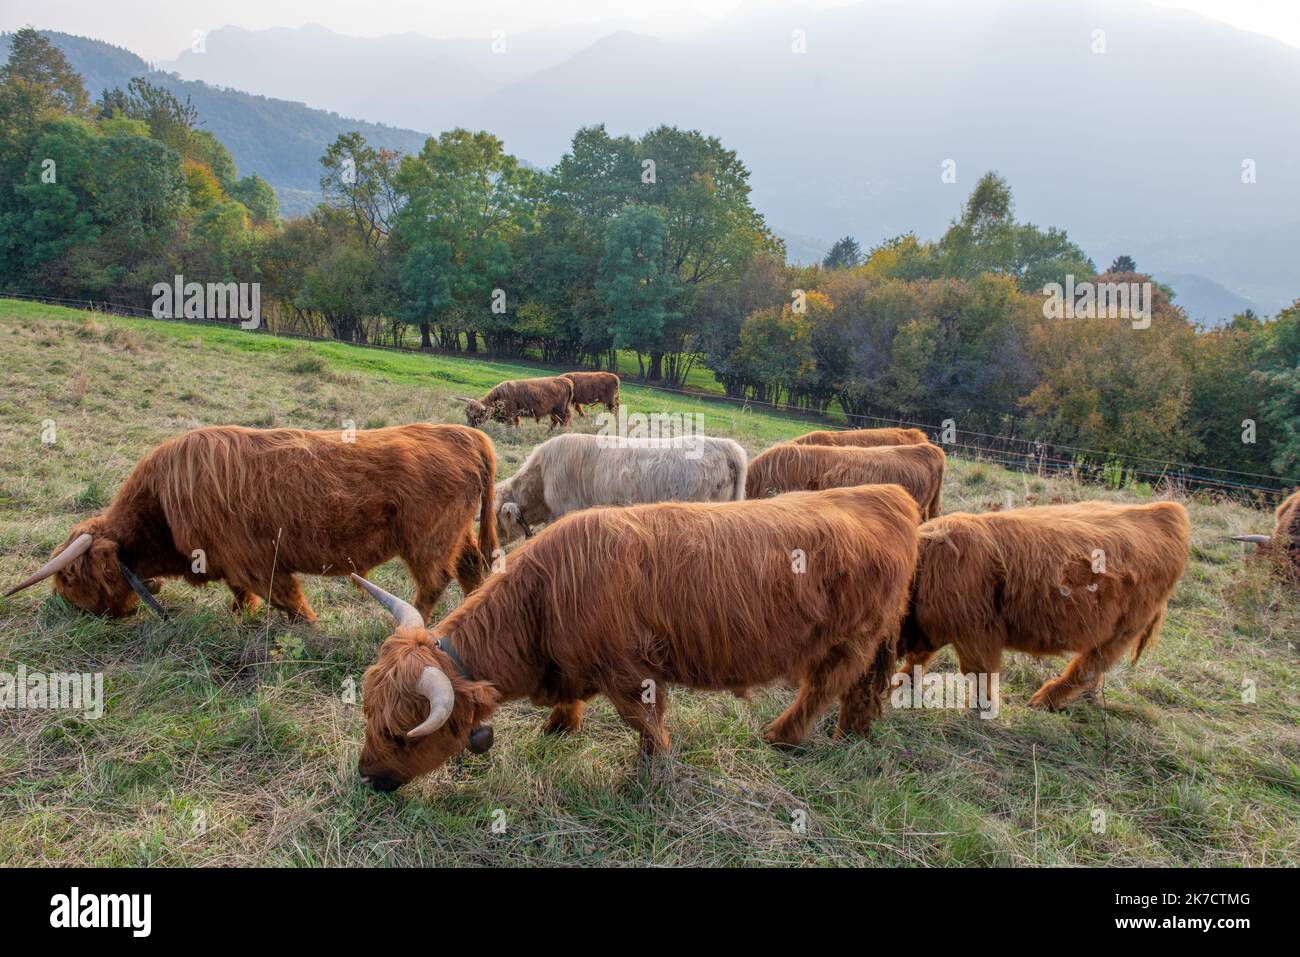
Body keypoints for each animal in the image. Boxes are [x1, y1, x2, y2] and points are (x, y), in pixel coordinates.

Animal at [2, 423, 499, 621]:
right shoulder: (231, 563)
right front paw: (240, 616)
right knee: (472, 568)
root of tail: (465, 434)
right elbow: (243, 595)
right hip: (458, 533)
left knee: (433, 582)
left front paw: (308, 627)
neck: (161, 506)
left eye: (69, 577)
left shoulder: (258, 560)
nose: (67, 609)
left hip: (427, 540)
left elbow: (288, 599)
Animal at [351, 486, 920, 790]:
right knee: (859, 690)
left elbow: (644, 721)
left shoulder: (631, 671)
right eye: (368, 716)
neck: (543, 598)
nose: (366, 777)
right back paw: (851, 735)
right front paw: (558, 728)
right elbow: (574, 704)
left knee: (825, 686)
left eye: (400, 734)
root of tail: (884, 495)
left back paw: (780, 736)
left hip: (848, 637)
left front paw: (652, 768)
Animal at [894, 501, 1190, 712]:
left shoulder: (976, 631)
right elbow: (918, 658)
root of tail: (1163, 511)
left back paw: (1043, 701)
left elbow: (977, 671)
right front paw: (900, 682)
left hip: (1120, 633)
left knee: (1086, 668)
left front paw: (983, 707)